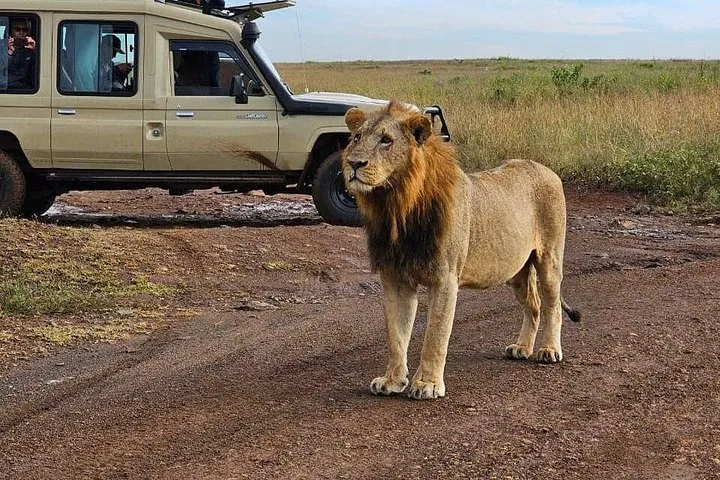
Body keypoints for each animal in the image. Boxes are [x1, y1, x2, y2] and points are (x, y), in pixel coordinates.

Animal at [342, 101, 581, 400]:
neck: (396, 205)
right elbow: (396, 336)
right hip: (516, 270)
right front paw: (392, 381)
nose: (353, 163)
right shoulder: (395, 278)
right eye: (357, 138)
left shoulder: (445, 279)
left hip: (549, 258)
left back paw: (549, 350)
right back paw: (521, 348)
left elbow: (435, 335)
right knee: (534, 306)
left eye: (386, 140)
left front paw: (427, 384)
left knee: (551, 305)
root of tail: (547, 170)